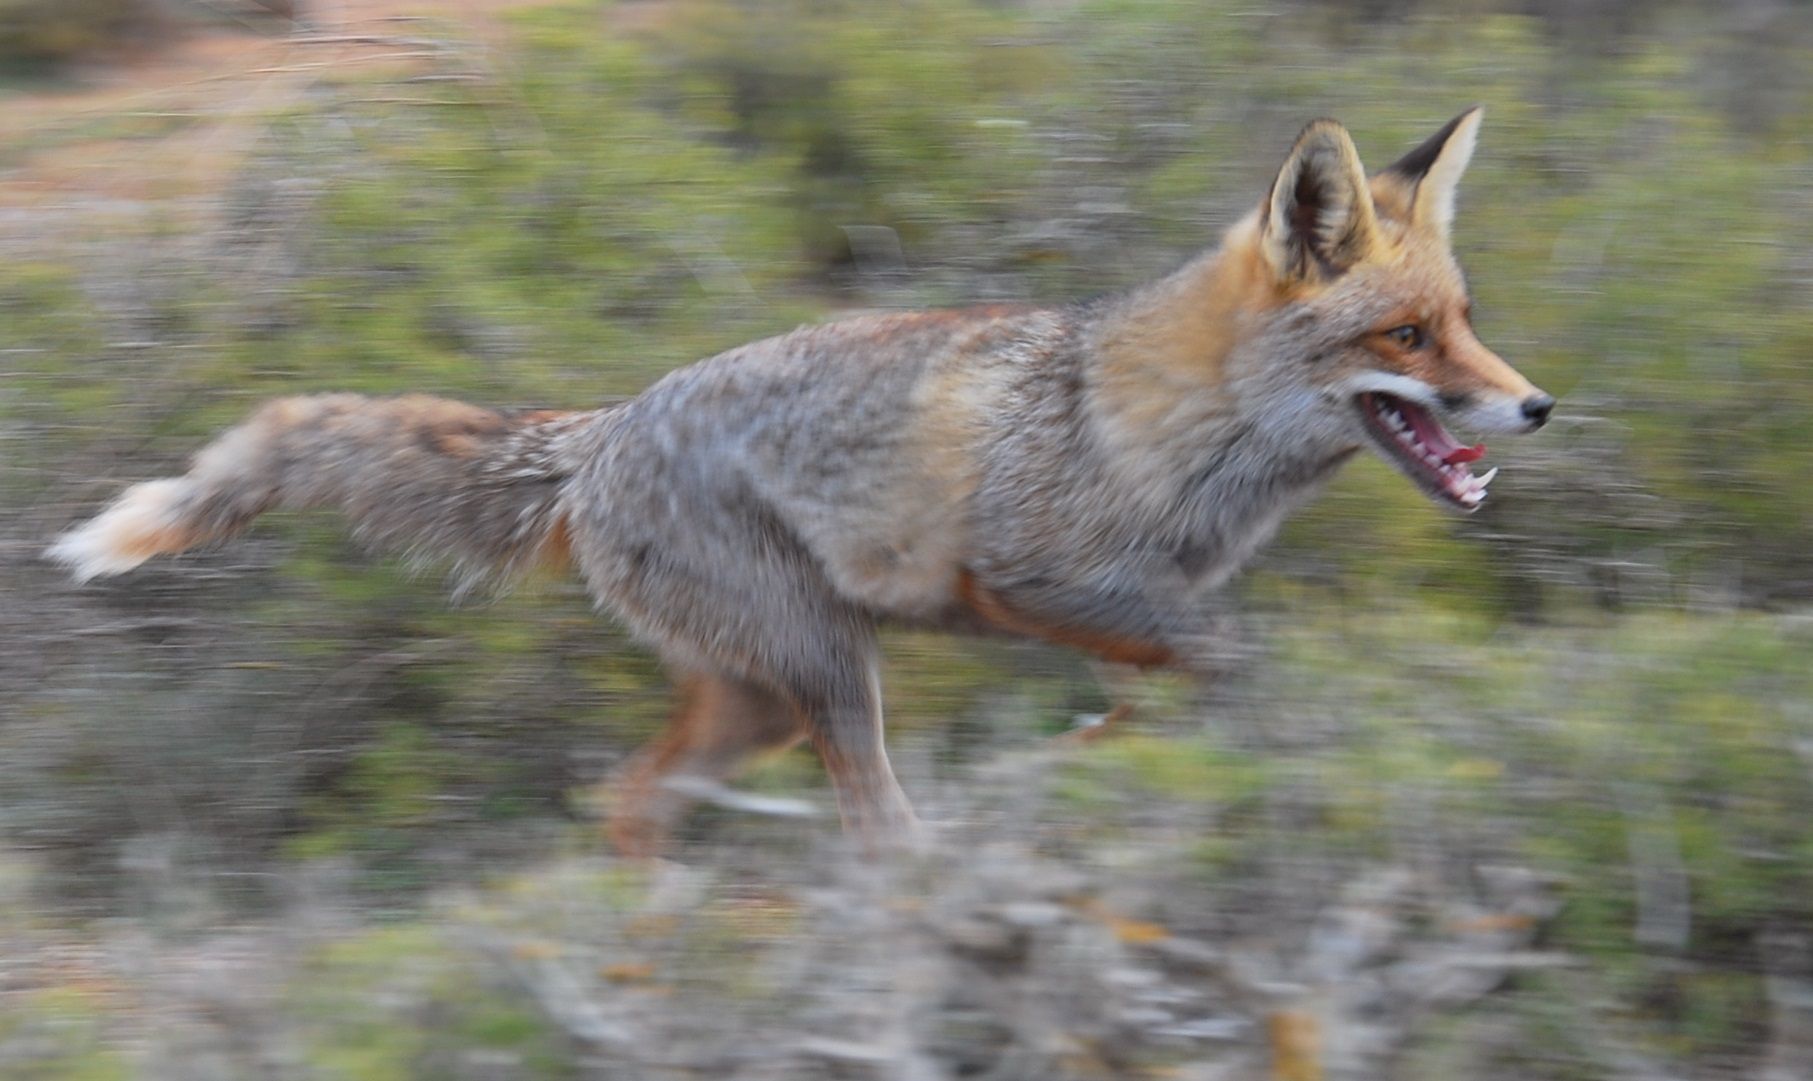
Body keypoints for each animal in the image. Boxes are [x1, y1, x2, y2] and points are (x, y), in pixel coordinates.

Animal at [48, 108, 1551, 853]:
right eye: (1405, 339)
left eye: (1465, 318)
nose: (1535, 405)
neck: (1160, 429)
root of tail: (599, 433)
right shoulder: (1026, 578)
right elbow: (1223, 661)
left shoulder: (1128, 616)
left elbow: (1171, 692)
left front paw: (1105, 763)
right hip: (830, 676)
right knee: (864, 831)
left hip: (760, 700)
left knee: (629, 800)